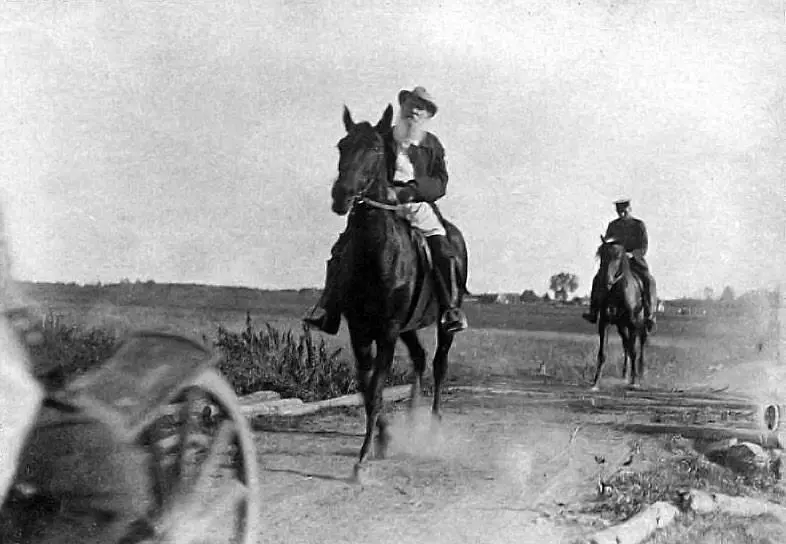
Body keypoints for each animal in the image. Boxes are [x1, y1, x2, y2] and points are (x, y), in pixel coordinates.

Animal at [592, 236, 648, 388]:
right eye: (601, 255)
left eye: (618, 256)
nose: (606, 281)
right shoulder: (604, 323)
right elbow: (602, 353)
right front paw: (596, 382)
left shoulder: (633, 324)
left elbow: (634, 351)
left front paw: (634, 381)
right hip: (621, 326)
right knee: (626, 345)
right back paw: (624, 374)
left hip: (640, 325)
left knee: (640, 346)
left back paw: (639, 373)